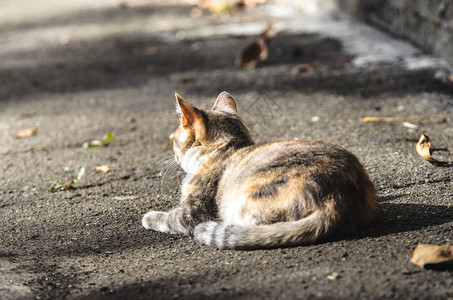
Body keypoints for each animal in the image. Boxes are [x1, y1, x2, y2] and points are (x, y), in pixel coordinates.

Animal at [142, 91, 378, 248]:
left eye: (173, 139)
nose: (173, 154)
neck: (225, 150)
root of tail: (337, 200)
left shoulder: (194, 213)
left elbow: (168, 218)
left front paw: (149, 217)